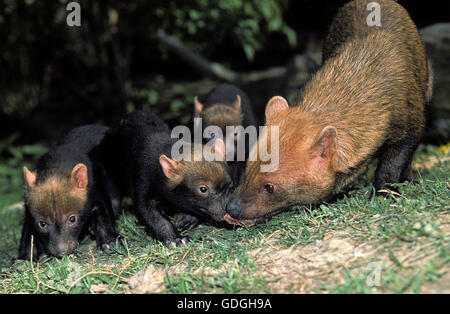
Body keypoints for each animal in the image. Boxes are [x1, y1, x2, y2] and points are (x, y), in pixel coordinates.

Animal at [18, 125, 121, 260]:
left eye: (72, 219)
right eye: (42, 223)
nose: (61, 251)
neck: (57, 167)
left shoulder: (95, 191)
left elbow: (103, 213)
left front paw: (109, 242)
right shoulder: (29, 211)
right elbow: (28, 232)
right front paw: (25, 257)